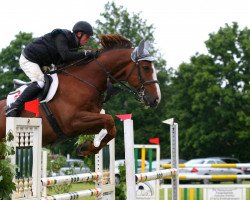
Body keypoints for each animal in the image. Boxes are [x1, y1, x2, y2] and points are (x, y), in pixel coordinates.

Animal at [0, 34, 160, 155]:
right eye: (146, 67)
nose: (156, 99)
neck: (84, 82)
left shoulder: (88, 121)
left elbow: (110, 129)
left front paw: (87, 148)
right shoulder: (73, 122)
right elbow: (109, 120)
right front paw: (88, 148)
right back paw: (12, 109)